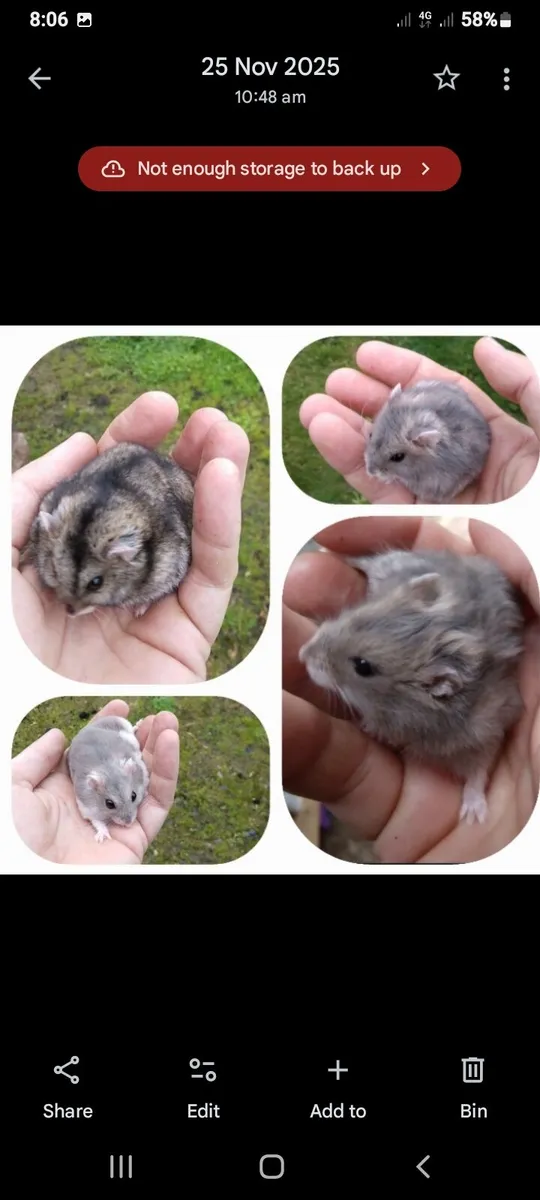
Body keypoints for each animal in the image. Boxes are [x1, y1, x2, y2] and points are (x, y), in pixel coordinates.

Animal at [299, 549, 525, 825]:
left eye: (363, 666)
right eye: (355, 615)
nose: (302, 654)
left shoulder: (486, 733)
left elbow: (478, 772)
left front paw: (473, 818)